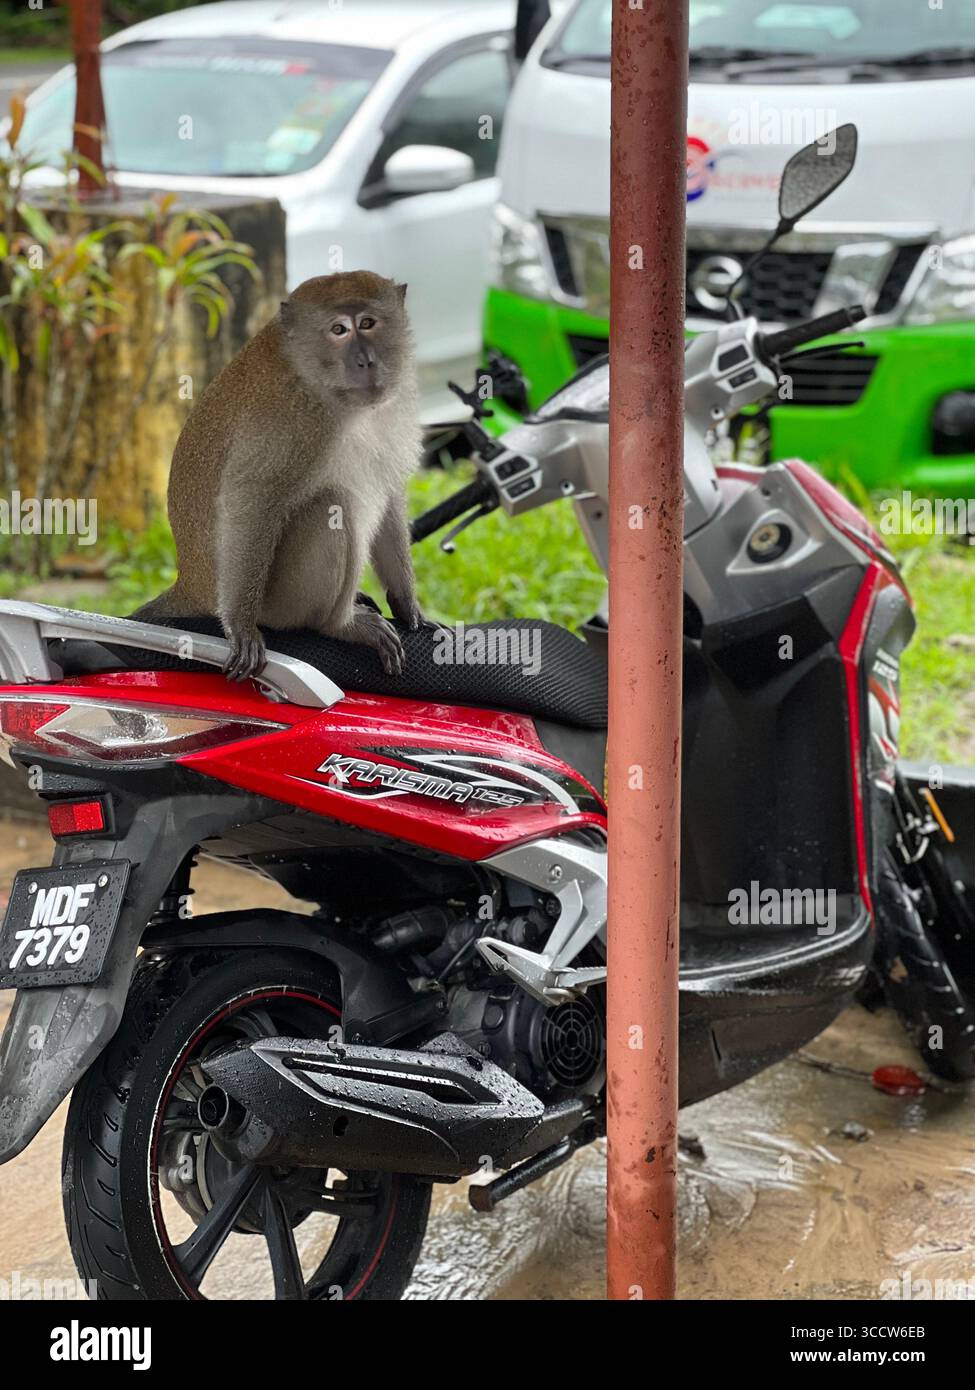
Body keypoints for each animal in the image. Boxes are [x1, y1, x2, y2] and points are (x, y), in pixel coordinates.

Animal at [134, 271, 430, 680]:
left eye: (368, 323)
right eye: (339, 330)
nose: (366, 361)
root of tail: (190, 586)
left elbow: (388, 492)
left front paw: (405, 601)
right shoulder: (288, 420)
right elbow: (250, 498)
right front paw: (240, 626)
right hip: (279, 603)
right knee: (331, 504)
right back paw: (339, 625)